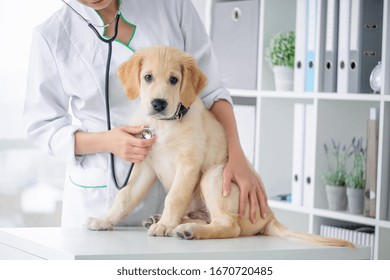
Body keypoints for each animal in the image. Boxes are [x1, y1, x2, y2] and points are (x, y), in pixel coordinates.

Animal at [86, 45, 354, 247]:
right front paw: (104, 220)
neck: (164, 124)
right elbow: (124, 197)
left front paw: (164, 225)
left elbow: (174, 197)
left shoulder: (189, 164)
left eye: (174, 79)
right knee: (211, 219)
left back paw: (186, 229)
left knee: (229, 226)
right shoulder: (144, 166)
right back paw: (171, 221)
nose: (159, 103)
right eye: (147, 77)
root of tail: (269, 215)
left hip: (212, 176)